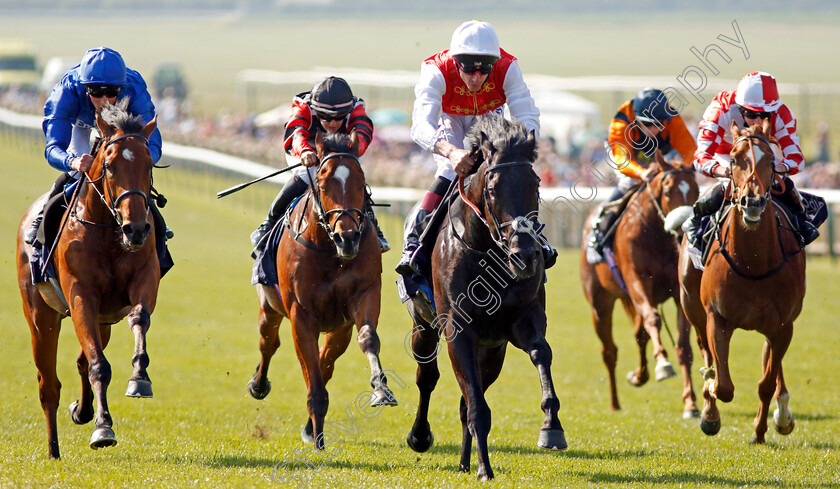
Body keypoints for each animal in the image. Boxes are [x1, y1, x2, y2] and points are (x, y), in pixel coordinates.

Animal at [16, 101, 160, 460]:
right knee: (49, 385)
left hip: (103, 320)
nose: (136, 228)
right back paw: (54, 449)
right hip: (40, 315)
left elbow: (139, 318)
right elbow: (99, 366)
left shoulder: (144, 277)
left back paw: (81, 411)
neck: (109, 232)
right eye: (109, 166)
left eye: (149, 163)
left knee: (82, 359)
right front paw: (103, 427)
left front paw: (139, 376)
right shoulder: (81, 293)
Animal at [246, 131, 398, 450]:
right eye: (324, 183)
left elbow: (367, 339)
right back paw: (258, 385)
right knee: (269, 342)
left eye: (361, 182)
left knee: (326, 361)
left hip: (338, 328)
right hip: (270, 306)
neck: (330, 251)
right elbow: (310, 372)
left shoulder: (362, 297)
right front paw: (317, 439)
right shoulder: (301, 314)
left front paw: (381, 389)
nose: (347, 237)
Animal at [406, 114, 564, 480]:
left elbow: (542, 353)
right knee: (428, 378)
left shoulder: (520, 322)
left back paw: (466, 461)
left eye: (536, 185)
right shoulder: (458, 330)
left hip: (492, 351)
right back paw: (421, 437)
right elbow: (477, 405)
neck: (487, 255)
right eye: (492, 190)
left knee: (466, 398)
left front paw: (551, 427)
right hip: (424, 327)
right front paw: (485, 470)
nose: (525, 256)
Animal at [576, 155, 704, 416]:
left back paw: (638, 376)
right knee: (609, 351)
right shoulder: (637, 282)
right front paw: (663, 364)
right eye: (668, 191)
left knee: (640, 334)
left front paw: (690, 403)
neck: (656, 235)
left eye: (696, 190)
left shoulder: (679, 293)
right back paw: (615, 402)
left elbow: (683, 347)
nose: (682, 230)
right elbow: (653, 319)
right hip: (600, 303)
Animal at [676, 120, 808, 444]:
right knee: (705, 351)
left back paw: (782, 415)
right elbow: (723, 385)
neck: (754, 261)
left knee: (770, 362)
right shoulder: (717, 318)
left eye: (770, 161)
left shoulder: (783, 325)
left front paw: (760, 431)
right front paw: (710, 410)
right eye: (734, 160)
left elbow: (766, 382)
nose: (753, 202)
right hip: (692, 306)